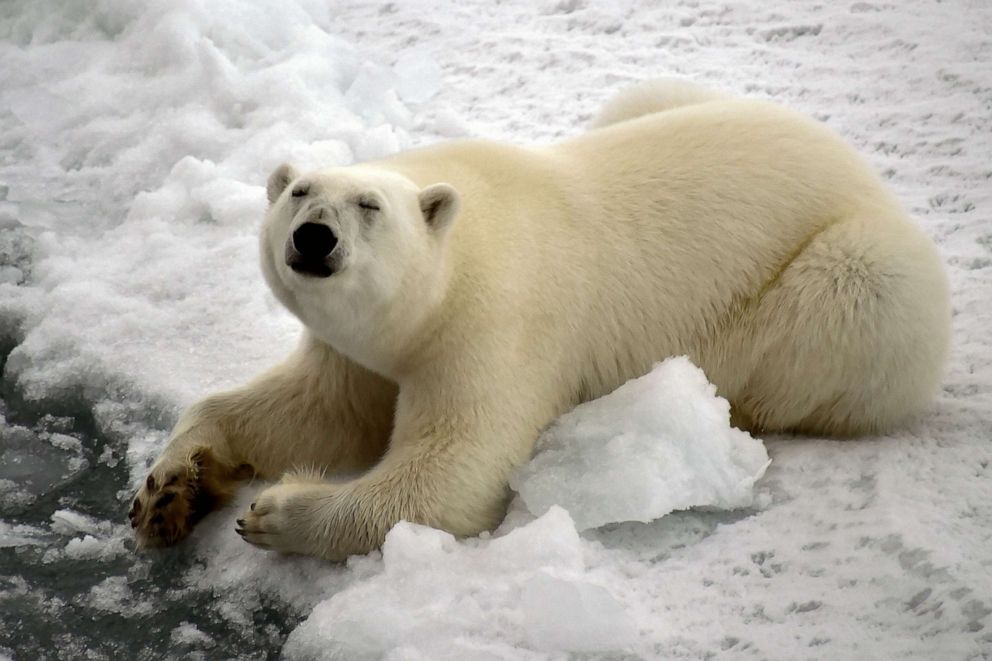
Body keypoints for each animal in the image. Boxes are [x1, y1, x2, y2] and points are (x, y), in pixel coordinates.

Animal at [128, 80, 948, 560]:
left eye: (369, 205)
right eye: (299, 192)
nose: (313, 238)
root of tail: (861, 166)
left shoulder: (494, 323)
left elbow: (449, 475)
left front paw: (273, 512)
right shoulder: (359, 348)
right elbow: (313, 409)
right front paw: (168, 488)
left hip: (854, 274)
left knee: (850, 303)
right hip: (665, 98)